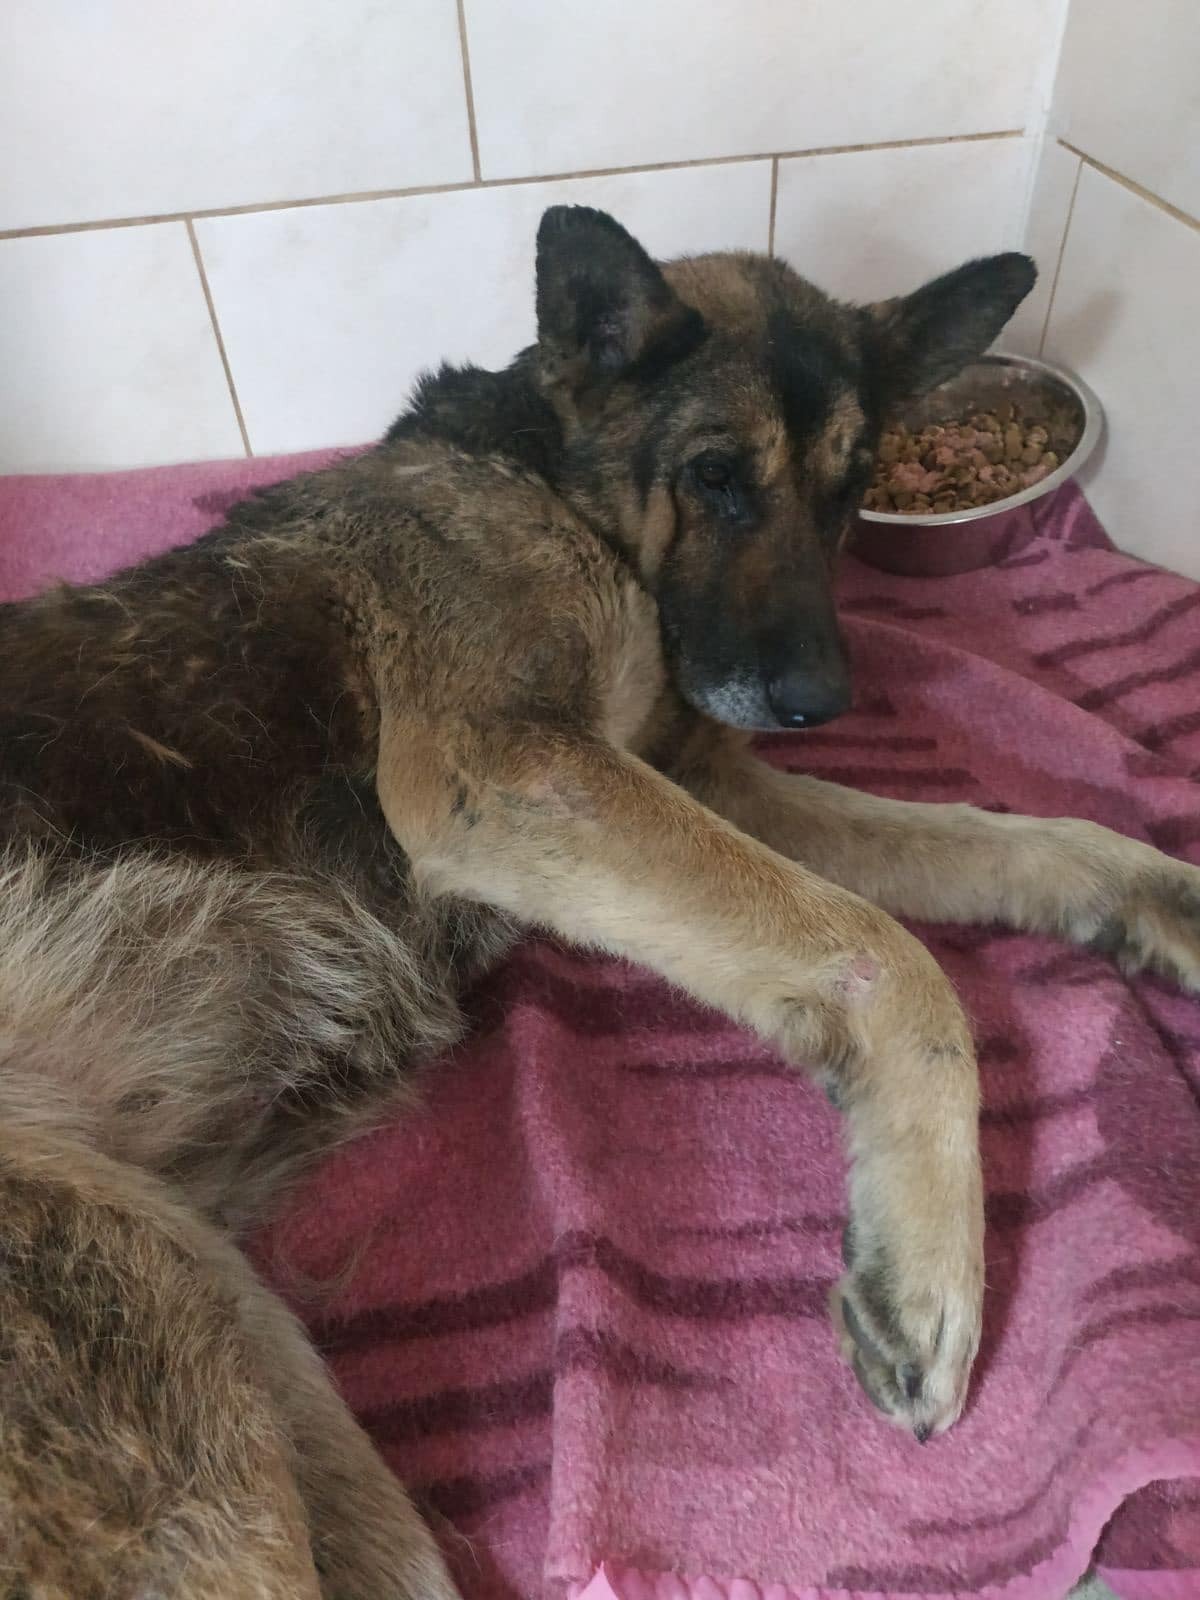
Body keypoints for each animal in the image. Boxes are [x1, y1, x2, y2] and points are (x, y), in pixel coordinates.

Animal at [2, 206, 1200, 1593]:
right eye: (719, 476)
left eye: (850, 489)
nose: (822, 701)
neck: (556, 483)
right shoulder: (511, 771)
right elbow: (888, 950)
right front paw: (930, 1265)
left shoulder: (705, 779)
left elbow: (999, 837)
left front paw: (1152, 888)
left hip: (243, 1356)